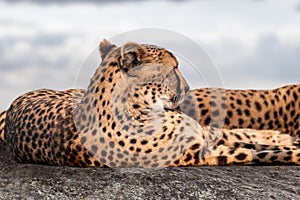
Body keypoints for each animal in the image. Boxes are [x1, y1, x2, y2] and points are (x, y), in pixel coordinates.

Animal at [0, 39, 300, 167]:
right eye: (173, 68)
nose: (188, 88)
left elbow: (256, 145)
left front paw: (287, 143)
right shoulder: (200, 154)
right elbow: (262, 152)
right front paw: (291, 151)